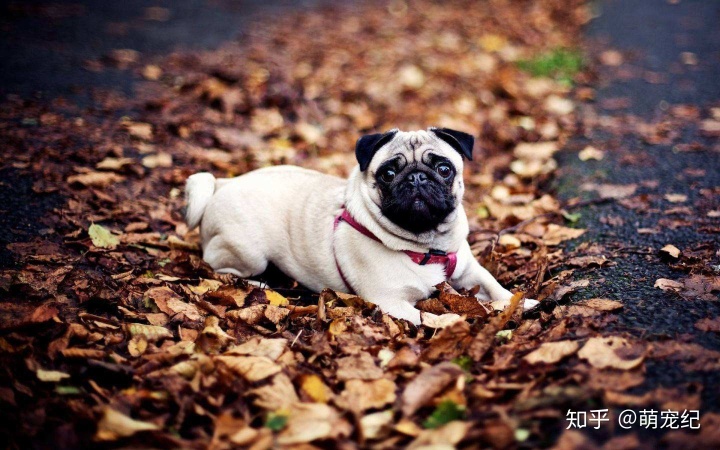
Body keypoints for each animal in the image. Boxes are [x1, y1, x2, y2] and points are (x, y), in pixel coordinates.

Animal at [188, 128, 536, 326]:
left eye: (443, 168)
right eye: (388, 173)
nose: (416, 177)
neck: (425, 245)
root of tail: (222, 184)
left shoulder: (469, 271)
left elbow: (495, 286)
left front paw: (523, 303)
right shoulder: (392, 302)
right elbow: (437, 317)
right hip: (248, 252)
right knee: (218, 267)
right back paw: (257, 283)